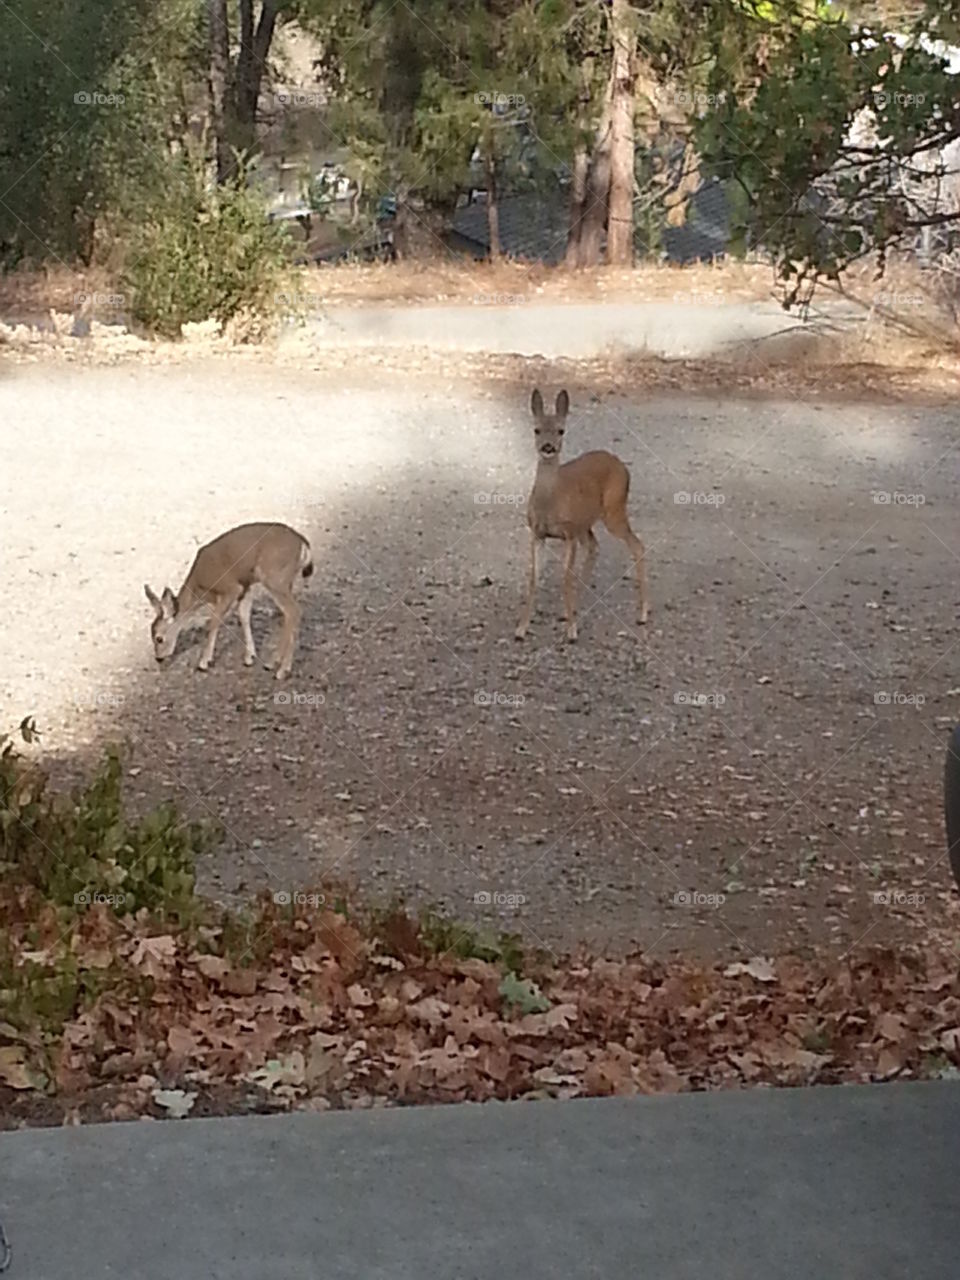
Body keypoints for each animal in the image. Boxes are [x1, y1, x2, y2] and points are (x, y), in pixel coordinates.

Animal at [144, 519, 313, 680]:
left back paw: (282, 671)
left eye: (159, 638)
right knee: (288, 614)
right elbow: (243, 615)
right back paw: (273, 662)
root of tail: (303, 543)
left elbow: (213, 622)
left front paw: (204, 662)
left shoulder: (231, 588)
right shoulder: (246, 585)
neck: (200, 589)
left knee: (294, 611)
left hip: (274, 577)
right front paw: (249, 657)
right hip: (284, 580)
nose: (158, 658)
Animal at [514, 386, 650, 645]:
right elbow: (534, 578)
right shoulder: (537, 533)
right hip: (586, 523)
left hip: (613, 510)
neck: (551, 502)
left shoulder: (569, 533)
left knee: (637, 545)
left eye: (561, 430)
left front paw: (572, 632)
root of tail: (621, 464)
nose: (548, 447)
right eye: (536, 429)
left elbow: (566, 578)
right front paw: (521, 629)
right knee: (595, 546)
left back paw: (643, 614)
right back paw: (572, 610)